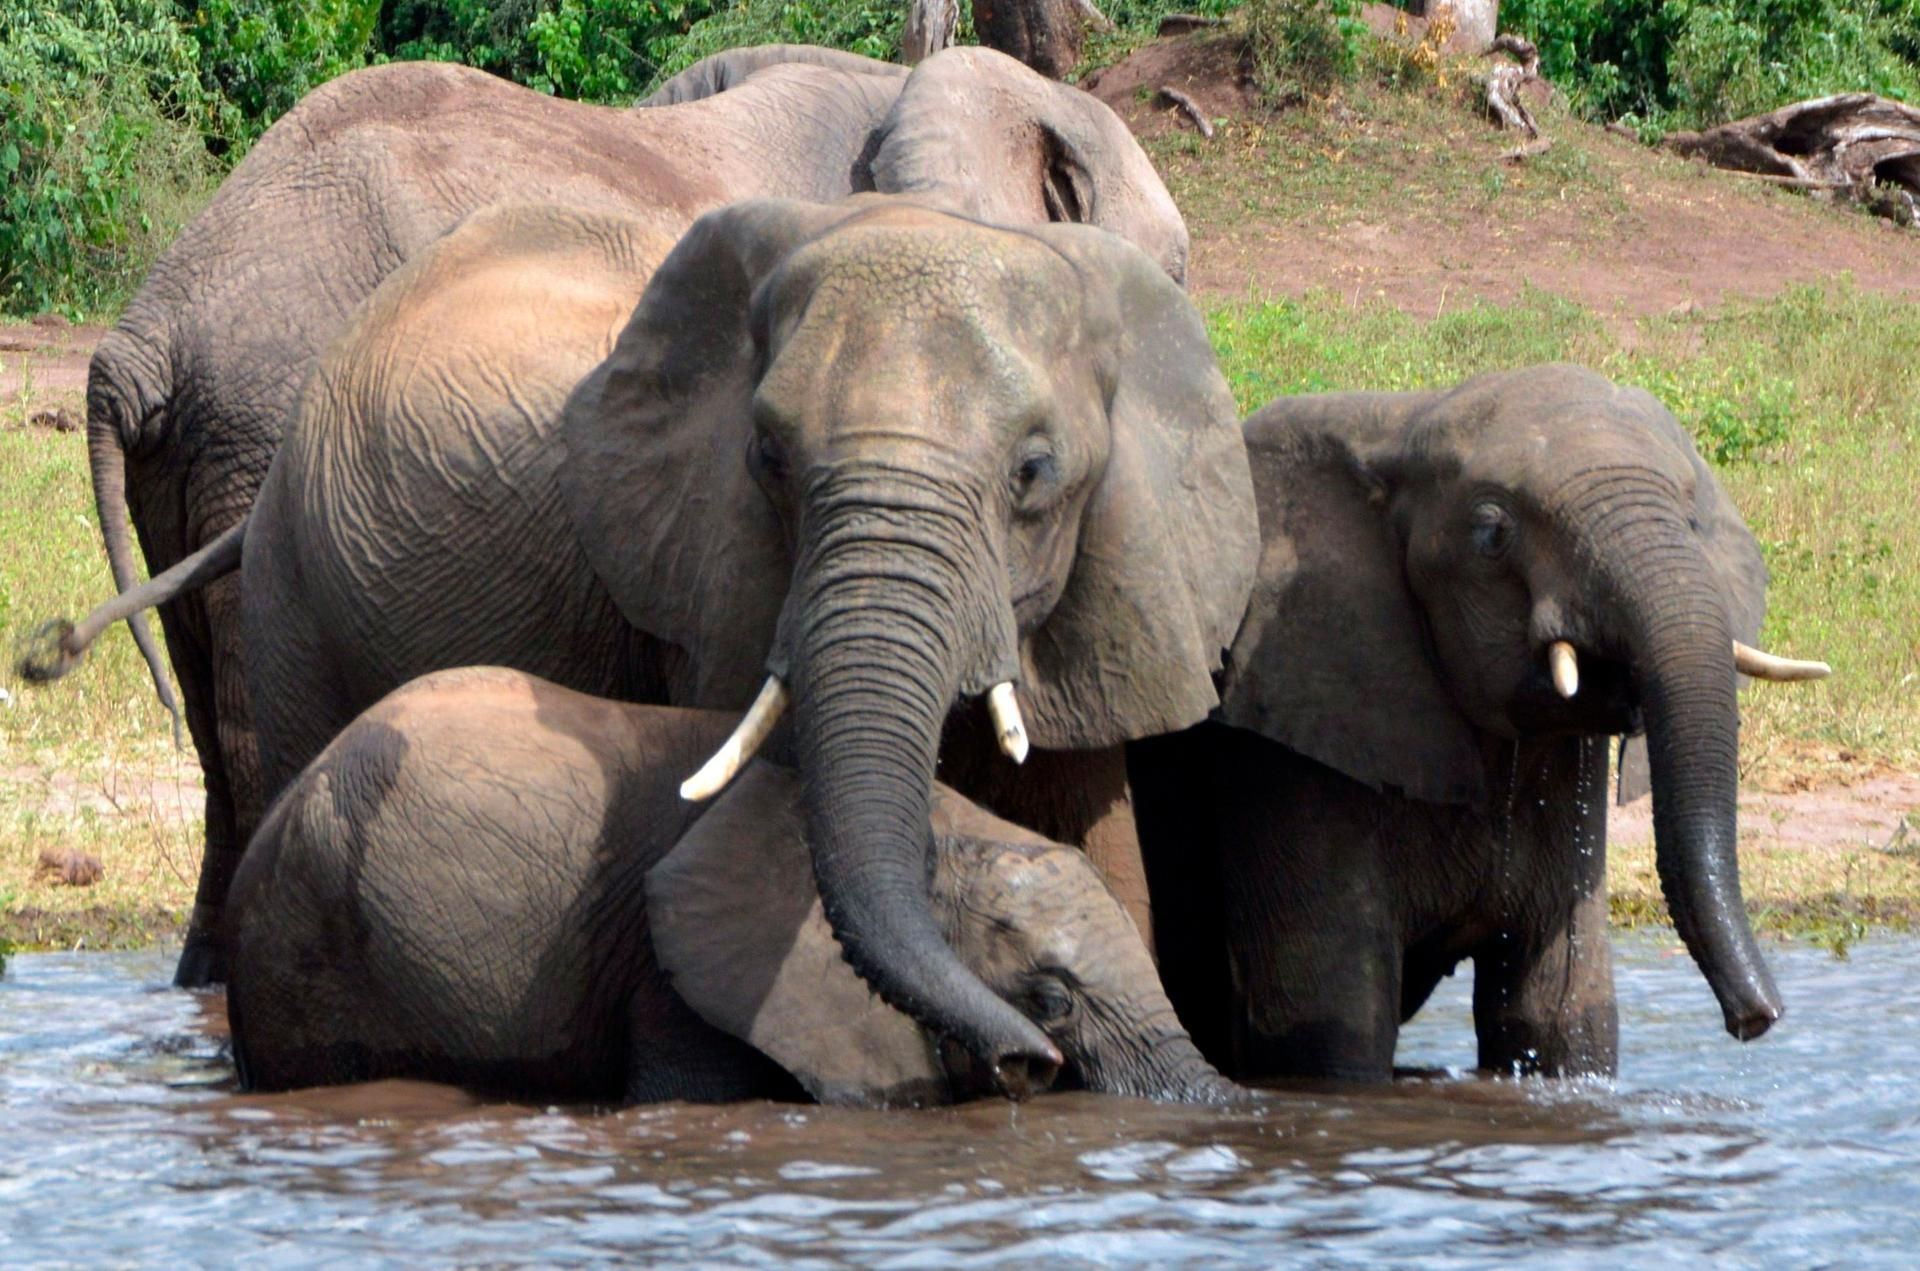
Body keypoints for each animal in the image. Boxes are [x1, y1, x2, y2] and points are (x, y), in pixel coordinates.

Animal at [1129, 364, 1829, 1082]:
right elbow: (1329, 1030)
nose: (1754, 1020)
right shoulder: (1286, 735)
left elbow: (1560, 1015)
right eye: (1492, 534)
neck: (1402, 423)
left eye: (1692, 521)